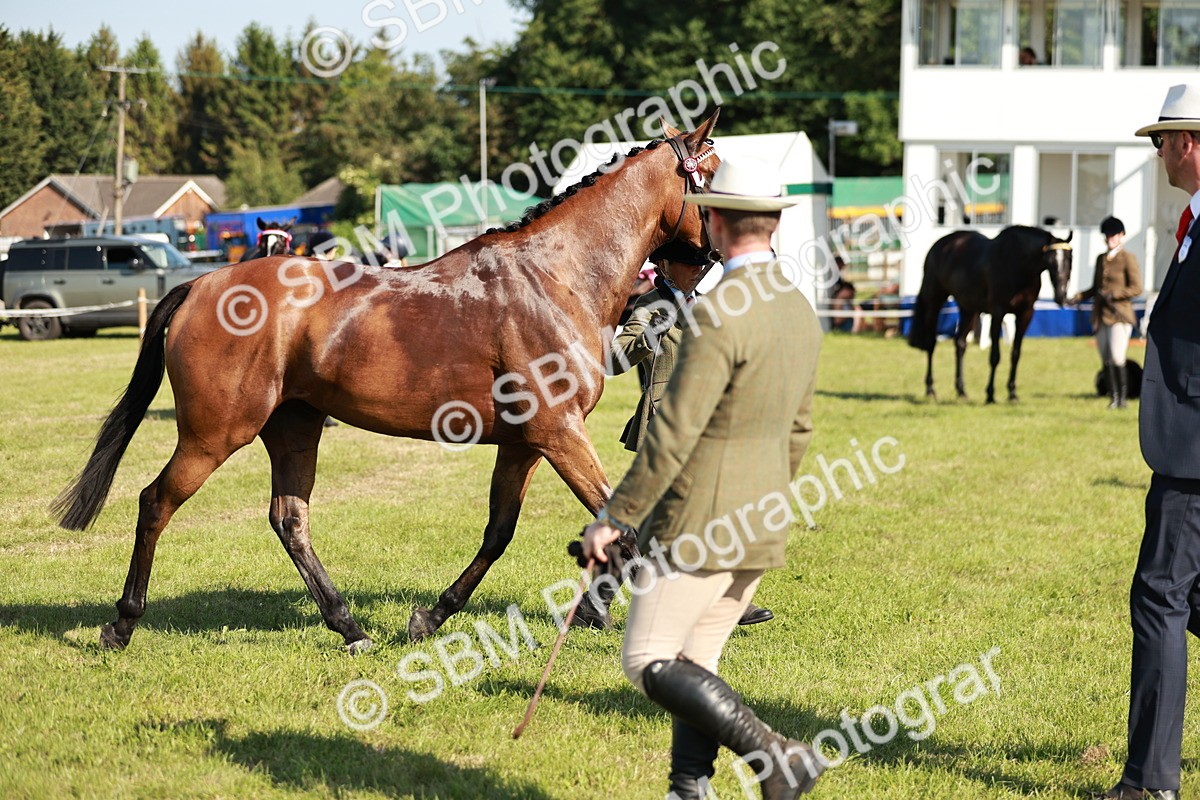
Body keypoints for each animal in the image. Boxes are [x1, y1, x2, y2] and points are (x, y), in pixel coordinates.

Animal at [52, 113, 721, 653]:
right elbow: (621, 527)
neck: (554, 277)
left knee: (289, 519)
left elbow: (502, 531)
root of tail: (201, 283)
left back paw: (348, 625)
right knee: (156, 502)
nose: (701, 271)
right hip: (215, 434)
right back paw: (122, 623)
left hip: (293, 429)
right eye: (714, 177)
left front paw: (433, 617)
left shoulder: (526, 442)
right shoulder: (560, 434)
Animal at [907, 225, 1073, 403]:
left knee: (960, 343)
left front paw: (1012, 393)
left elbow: (1015, 354)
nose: (1061, 296)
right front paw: (990, 394)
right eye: (1051, 261)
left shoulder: (1026, 314)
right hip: (934, 302)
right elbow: (995, 356)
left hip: (968, 309)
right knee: (931, 344)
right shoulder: (997, 312)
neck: (1017, 264)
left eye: (1070, 259)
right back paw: (931, 389)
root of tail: (940, 246)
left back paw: (961, 391)